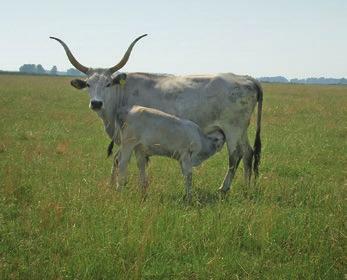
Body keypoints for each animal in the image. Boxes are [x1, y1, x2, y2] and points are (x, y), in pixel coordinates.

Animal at [51, 34, 264, 194]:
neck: (122, 93)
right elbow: (128, 161)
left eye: (108, 83)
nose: (96, 103)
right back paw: (246, 188)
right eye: (88, 84)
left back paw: (224, 188)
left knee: (234, 156)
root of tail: (246, 78)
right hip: (241, 130)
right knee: (248, 153)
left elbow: (124, 160)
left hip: (232, 129)